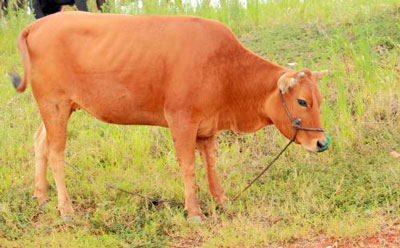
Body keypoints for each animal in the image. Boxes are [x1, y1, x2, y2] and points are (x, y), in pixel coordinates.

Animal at [14, 11, 330, 223]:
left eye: (319, 100)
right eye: (302, 101)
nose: (322, 143)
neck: (226, 69)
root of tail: (38, 23)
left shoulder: (207, 127)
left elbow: (211, 166)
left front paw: (222, 200)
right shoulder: (181, 120)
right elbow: (188, 167)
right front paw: (195, 212)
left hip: (60, 107)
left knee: (40, 142)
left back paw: (41, 198)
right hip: (55, 104)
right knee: (56, 153)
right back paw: (65, 210)